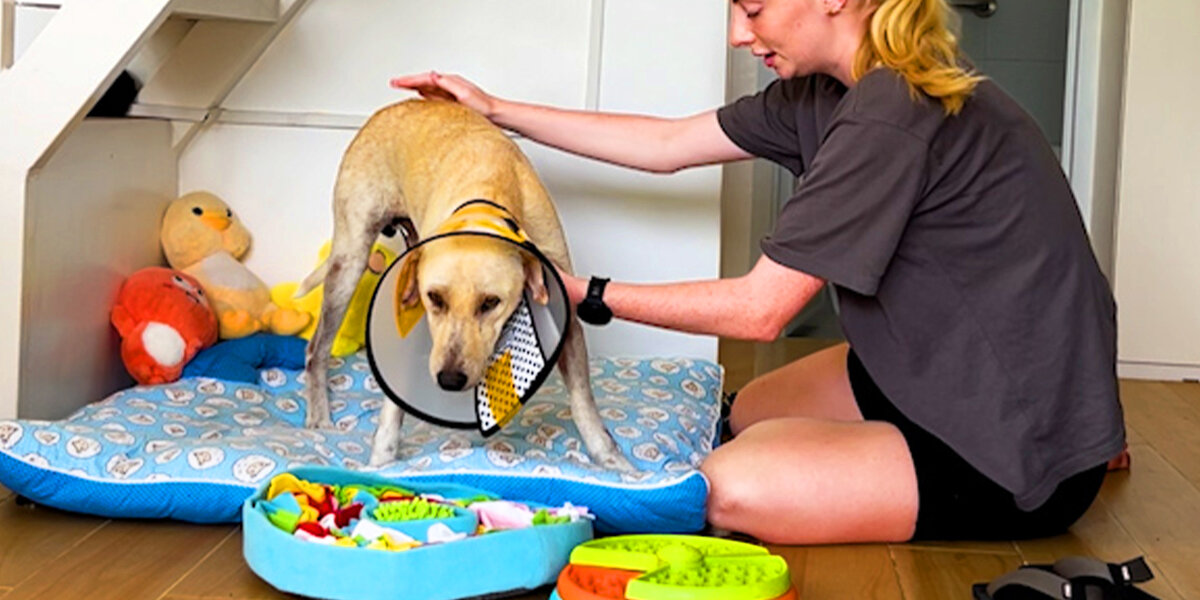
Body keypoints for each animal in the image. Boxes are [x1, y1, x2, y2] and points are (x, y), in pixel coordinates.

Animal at [298, 98, 634, 472]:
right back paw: (320, 416)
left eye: (490, 302)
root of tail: (389, 109)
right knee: (316, 349)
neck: (490, 192)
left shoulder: (566, 317)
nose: (450, 380)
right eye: (434, 298)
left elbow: (582, 400)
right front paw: (381, 461)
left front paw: (612, 459)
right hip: (350, 262)